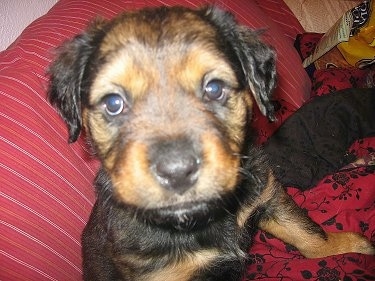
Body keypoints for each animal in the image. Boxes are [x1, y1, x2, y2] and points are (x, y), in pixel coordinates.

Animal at [48, 4, 374, 280]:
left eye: (214, 88)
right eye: (113, 104)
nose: (177, 172)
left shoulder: (267, 194)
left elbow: (307, 234)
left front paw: (353, 245)